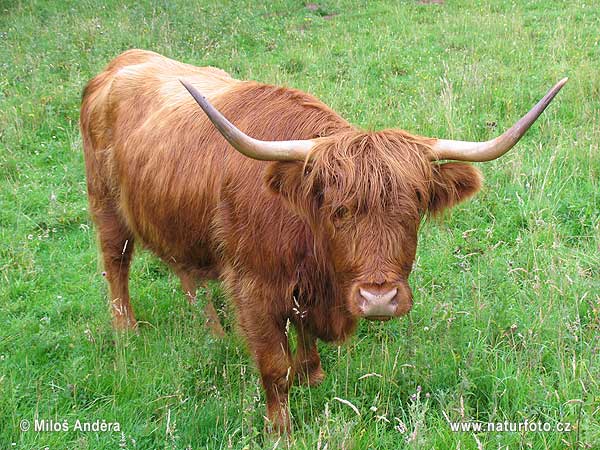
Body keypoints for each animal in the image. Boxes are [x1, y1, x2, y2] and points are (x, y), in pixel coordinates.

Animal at [81, 49, 568, 432]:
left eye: (414, 210)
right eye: (338, 211)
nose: (379, 298)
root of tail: (119, 63)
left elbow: (303, 330)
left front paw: (311, 373)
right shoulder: (254, 286)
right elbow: (273, 365)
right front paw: (280, 428)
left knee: (189, 277)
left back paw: (215, 333)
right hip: (105, 205)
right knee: (115, 264)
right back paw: (126, 330)